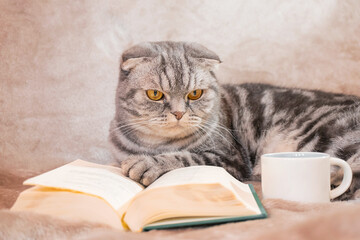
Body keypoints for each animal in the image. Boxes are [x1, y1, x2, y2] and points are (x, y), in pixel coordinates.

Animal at [109, 42, 360, 200]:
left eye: (195, 94)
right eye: (155, 94)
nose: (179, 113)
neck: (155, 145)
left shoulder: (231, 158)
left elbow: (186, 157)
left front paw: (149, 164)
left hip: (329, 138)